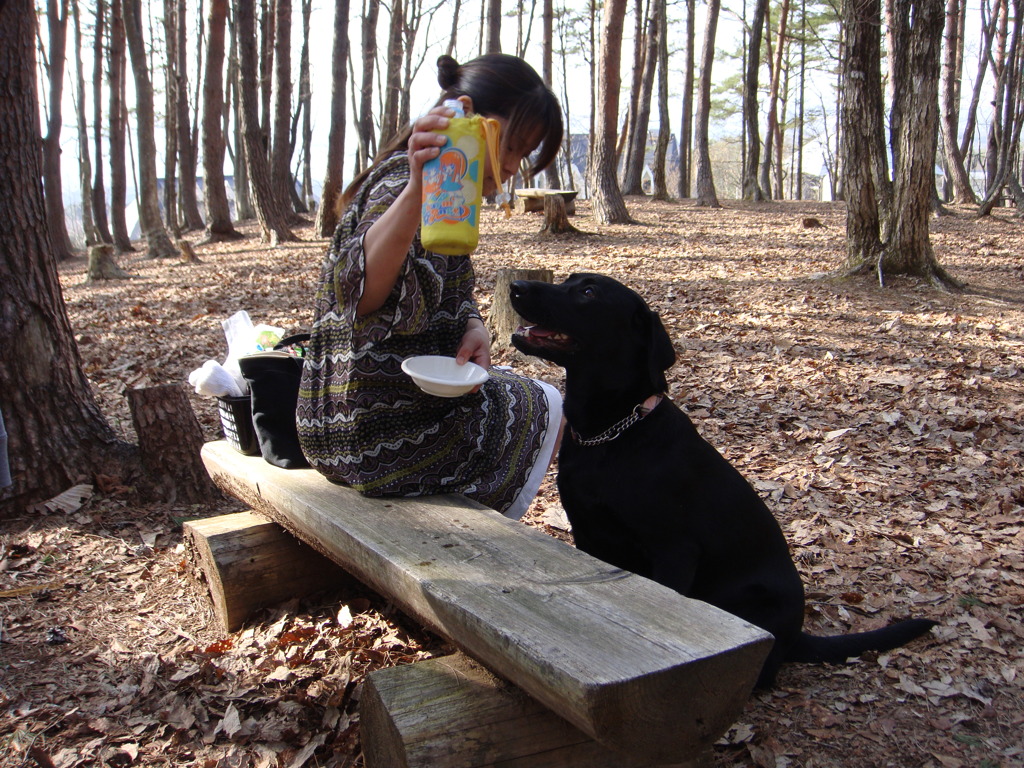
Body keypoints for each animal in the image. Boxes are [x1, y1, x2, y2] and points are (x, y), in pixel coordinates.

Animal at [512, 274, 937, 688]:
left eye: (587, 291)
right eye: (567, 281)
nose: (517, 286)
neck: (611, 433)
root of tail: (797, 634)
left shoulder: (675, 550)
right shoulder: (588, 533)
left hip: (755, 601)